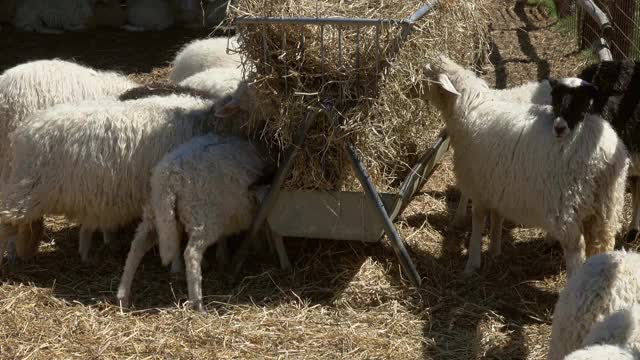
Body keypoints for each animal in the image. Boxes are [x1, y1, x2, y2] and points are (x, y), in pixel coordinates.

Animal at [117, 134, 268, 310]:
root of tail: (170, 178)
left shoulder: (226, 213)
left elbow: (225, 237)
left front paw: (223, 256)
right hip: (202, 217)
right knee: (191, 253)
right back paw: (197, 303)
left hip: (156, 210)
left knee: (137, 246)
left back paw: (123, 296)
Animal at [424, 56, 632, 276]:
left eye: (428, 75)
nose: (413, 88)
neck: (468, 107)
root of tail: (605, 155)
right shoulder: (497, 182)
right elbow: (497, 216)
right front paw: (495, 249)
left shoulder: (479, 185)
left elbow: (478, 221)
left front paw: (472, 263)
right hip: (608, 207)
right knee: (604, 242)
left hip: (567, 204)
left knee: (576, 248)